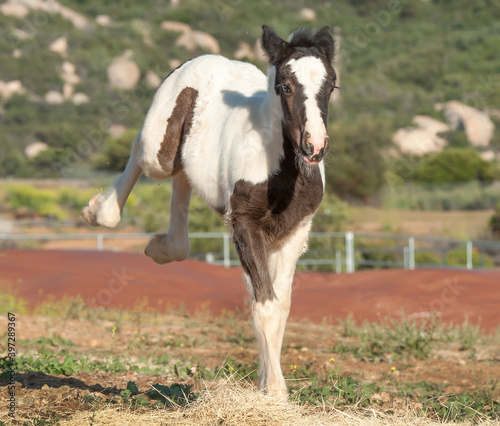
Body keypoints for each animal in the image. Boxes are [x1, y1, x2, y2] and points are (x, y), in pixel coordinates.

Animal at [83, 25, 336, 394]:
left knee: (183, 178)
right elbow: (266, 305)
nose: (314, 146)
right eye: (286, 86)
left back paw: (161, 247)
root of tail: (202, 58)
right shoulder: (243, 224)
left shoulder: (294, 233)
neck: (279, 168)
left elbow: (280, 305)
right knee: (142, 152)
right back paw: (99, 212)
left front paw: (266, 383)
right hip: (158, 147)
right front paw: (275, 392)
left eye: (331, 85)